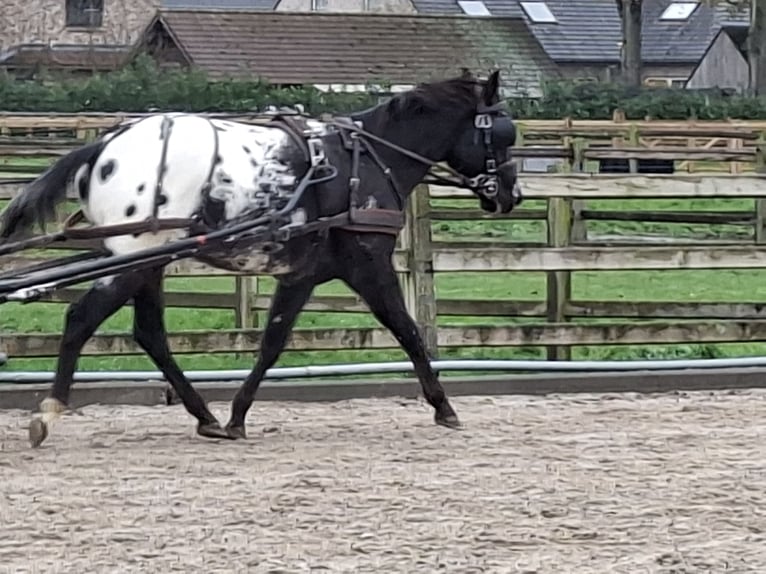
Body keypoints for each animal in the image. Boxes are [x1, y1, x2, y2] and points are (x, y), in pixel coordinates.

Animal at [0, 69, 522, 447]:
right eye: (503, 133)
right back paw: (49, 411)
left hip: (146, 261)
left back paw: (205, 416)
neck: (367, 158)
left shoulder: (302, 274)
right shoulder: (368, 262)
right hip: (135, 259)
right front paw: (444, 406)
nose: (510, 196)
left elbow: (272, 342)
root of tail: (104, 145)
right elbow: (407, 330)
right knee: (81, 318)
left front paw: (236, 416)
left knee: (149, 334)